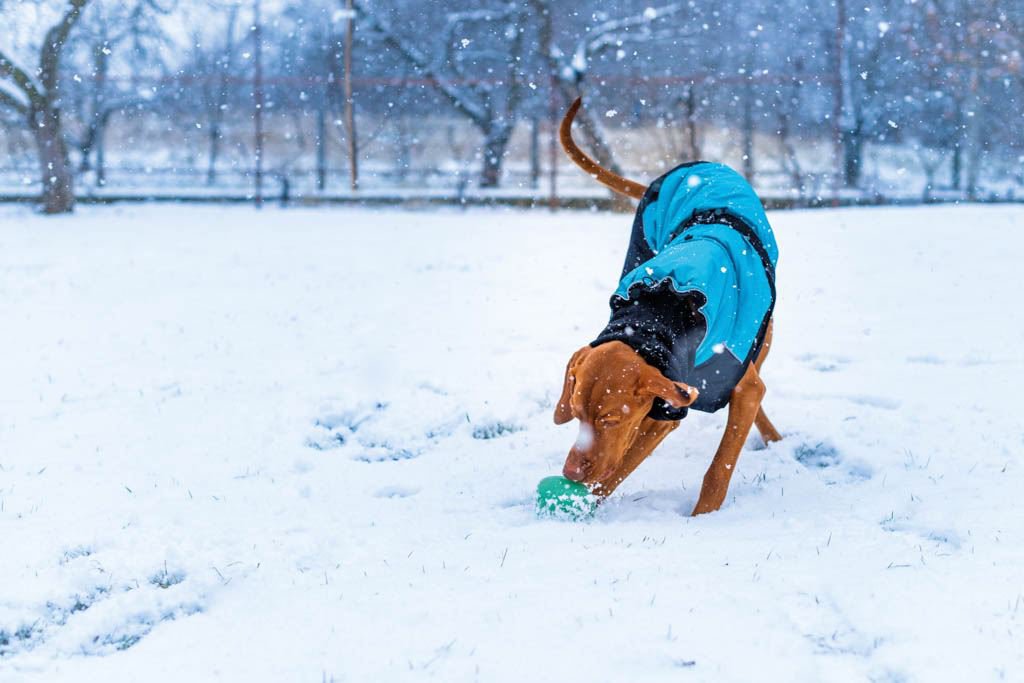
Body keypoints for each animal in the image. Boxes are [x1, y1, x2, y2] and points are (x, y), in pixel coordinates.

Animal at [557, 97, 778, 518]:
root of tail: (693, 166)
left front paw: (702, 519)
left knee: (757, 371)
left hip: (764, 329)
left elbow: (720, 466)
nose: (570, 472)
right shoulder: (665, 403)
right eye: (575, 414)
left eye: (609, 418)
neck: (658, 315)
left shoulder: (718, 389)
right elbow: (623, 462)